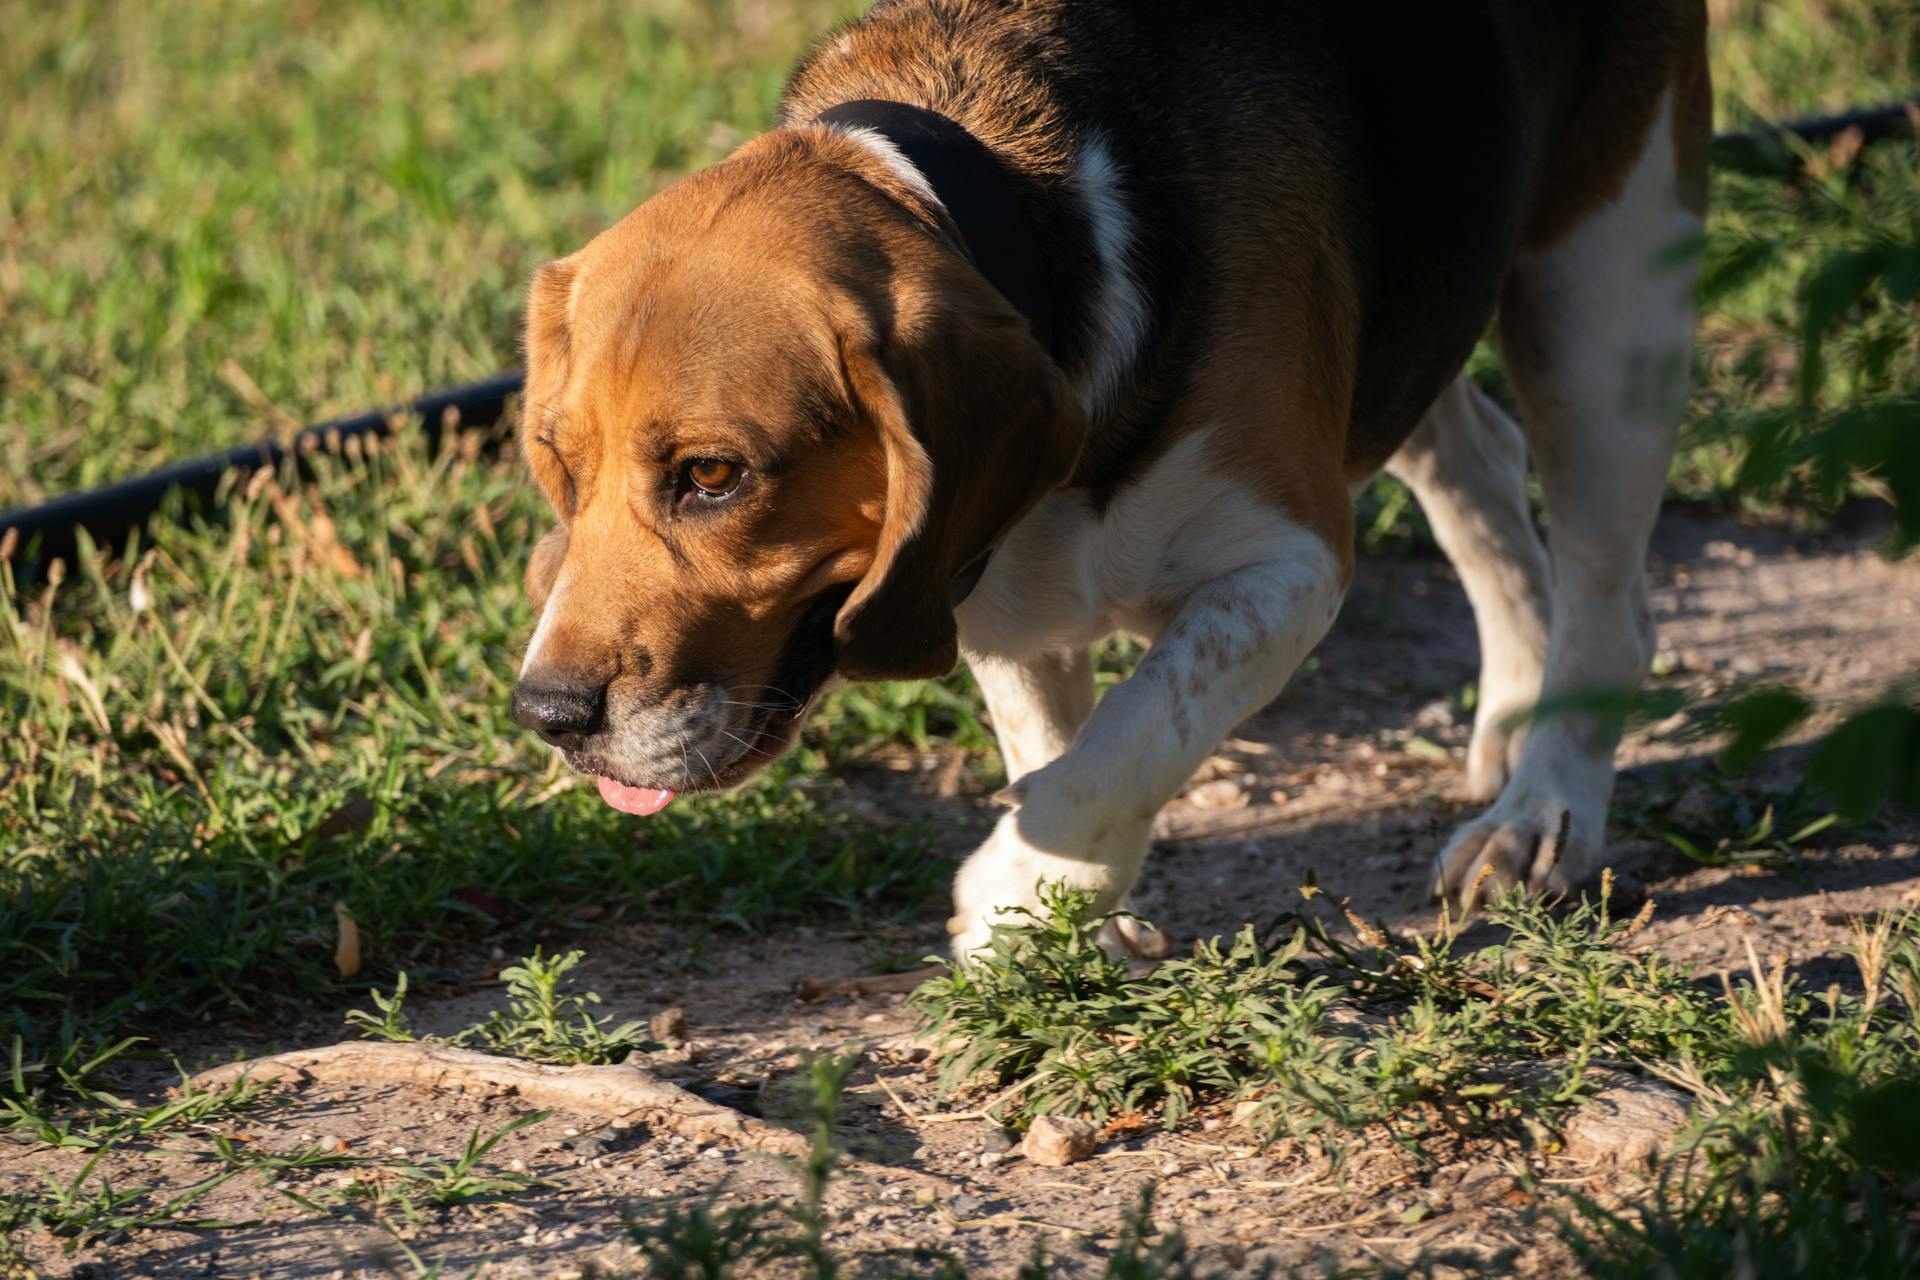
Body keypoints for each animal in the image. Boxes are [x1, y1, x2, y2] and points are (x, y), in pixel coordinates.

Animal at [510, 0, 1712, 955]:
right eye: (559, 465)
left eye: (714, 475)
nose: (548, 715)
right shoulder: (999, 595)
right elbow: (1055, 748)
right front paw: (1063, 918)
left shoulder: (1286, 564)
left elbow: (1131, 736)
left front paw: (1015, 886)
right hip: (1416, 327)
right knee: (1481, 465)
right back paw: (1512, 706)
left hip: (1604, 306)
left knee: (1611, 607)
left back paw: (1543, 810)